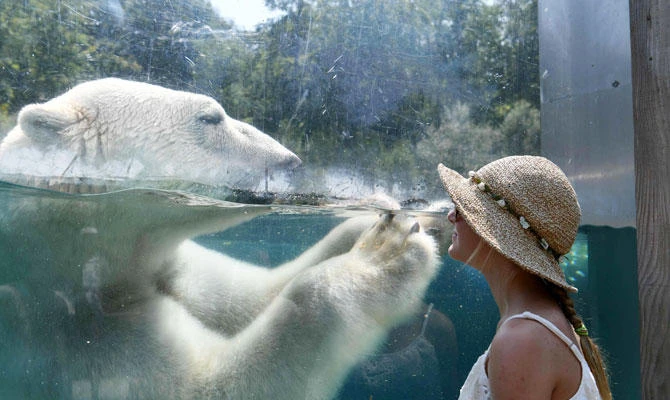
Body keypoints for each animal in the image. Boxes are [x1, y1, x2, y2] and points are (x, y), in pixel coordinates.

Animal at [0, 79, 440, 399]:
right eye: (210, 117)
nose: (292, 162)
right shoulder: (67, 329)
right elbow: (211, 386)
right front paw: (386, 254)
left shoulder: (163, 263)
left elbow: (246, 297)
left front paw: (400, 214)